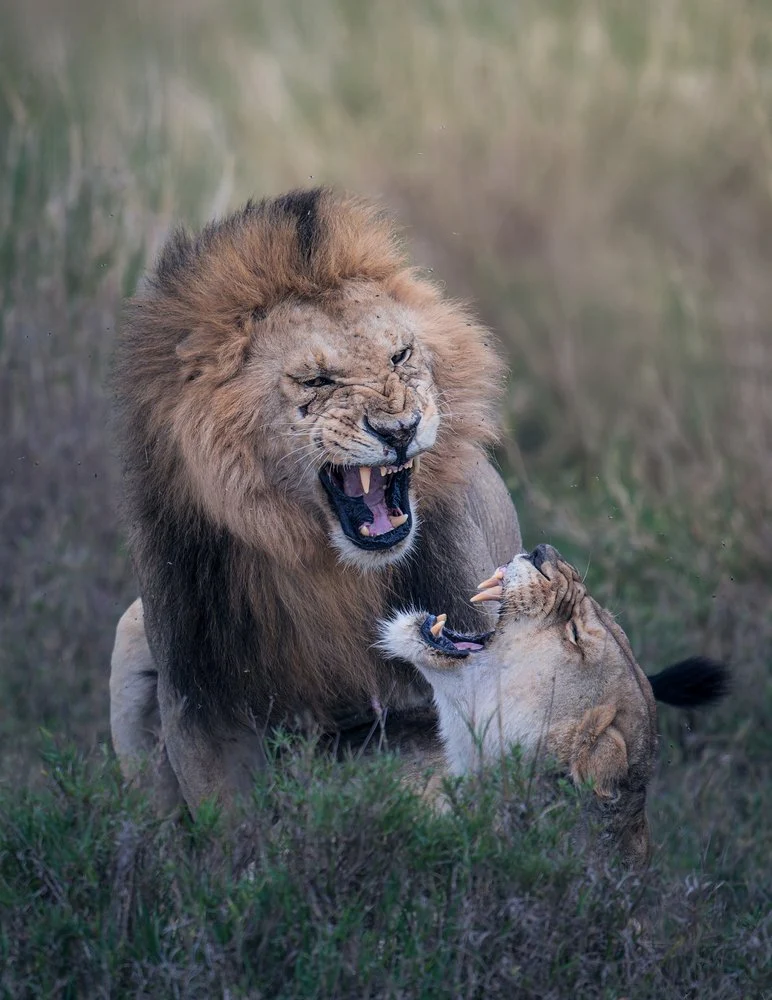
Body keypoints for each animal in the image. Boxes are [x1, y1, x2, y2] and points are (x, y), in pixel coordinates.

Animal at [110, 187, 521, 813]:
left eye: (401, 356)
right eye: (317, 381)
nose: (400, 429)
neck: (324, 565)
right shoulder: (198, 705)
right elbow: (226, 821)